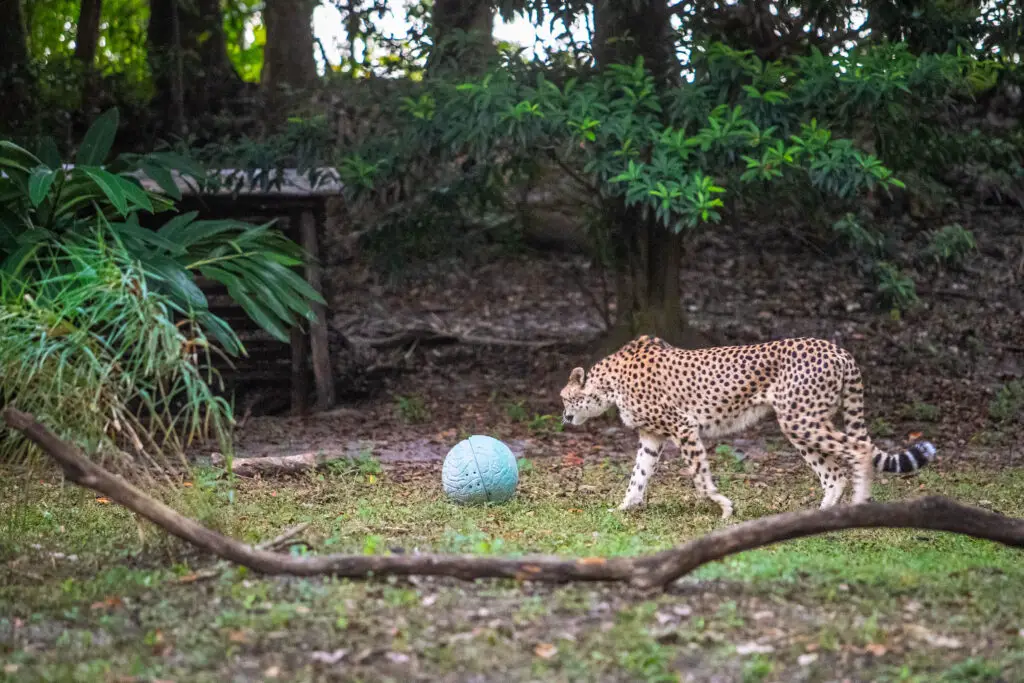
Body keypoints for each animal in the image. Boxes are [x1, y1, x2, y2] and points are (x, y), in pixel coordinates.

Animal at [561, 335, 937, 518]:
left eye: (565, 399)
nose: (564, 418)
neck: (608, 384)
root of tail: (838, 349)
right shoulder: (652, 435)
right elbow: (638, 476)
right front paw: (624, 508)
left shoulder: (684, 427)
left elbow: (700, 477)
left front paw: (723, 507)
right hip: (801, 422)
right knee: (834, 473)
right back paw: (819, 517)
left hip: (801, 419)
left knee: (858, 449)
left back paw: (856, 505)